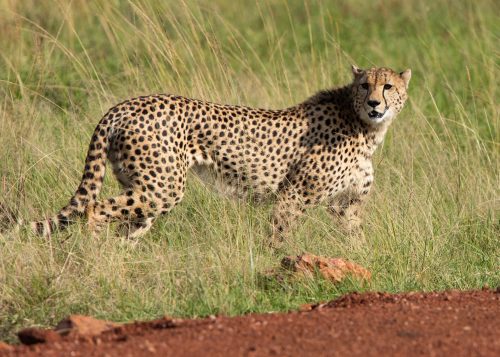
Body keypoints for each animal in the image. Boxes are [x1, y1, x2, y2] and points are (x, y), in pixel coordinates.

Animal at [31, 64, 410, 242]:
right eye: (365, 85)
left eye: (388, 86)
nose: (375, 103)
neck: (364, 126)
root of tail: (124, 105)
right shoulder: (294, 196)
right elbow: (280, 236)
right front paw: (276, 270)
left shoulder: (347, 206)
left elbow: (357, 240)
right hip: (162, 188)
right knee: (94, 210)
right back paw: (98, 259)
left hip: (144, 188)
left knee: (124, 227)